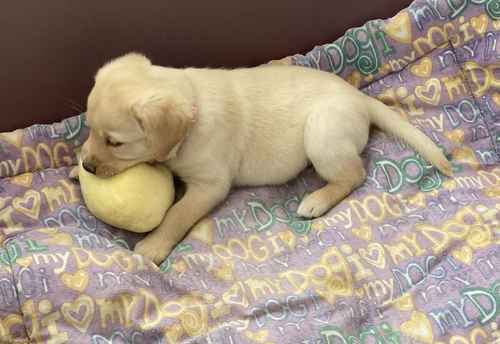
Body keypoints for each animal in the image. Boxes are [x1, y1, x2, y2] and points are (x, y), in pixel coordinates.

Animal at [82, 53, 454, 264]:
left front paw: (154, 246)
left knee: (354, 174)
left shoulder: (210, 185)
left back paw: (316, 201)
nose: (86, 166)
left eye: (115, 142)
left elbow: (177, 213)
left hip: (322, 132)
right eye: (90, 129)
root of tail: (358, 97)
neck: (192, 116)